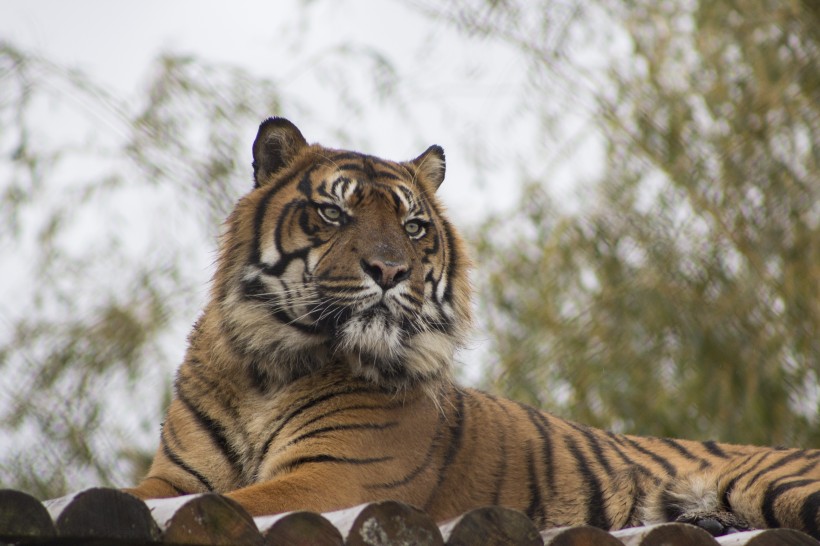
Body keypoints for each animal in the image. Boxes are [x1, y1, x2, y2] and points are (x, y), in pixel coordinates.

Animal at [126, 116, 820, 536]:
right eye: (333, 213)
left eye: (413, 227)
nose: (389, 270)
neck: (267, 366)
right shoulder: (177, 478)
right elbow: (144, 493)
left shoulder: (336, 474)